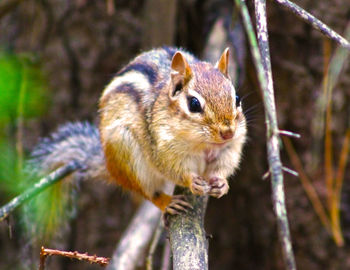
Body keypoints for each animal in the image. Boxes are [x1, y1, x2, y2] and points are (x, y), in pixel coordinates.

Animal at [29, 46, 246, 219]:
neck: (203, 144)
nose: (227, 133)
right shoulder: (162, 147)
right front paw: (192, 180)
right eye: (194, 104)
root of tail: (110, 166)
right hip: (127, 153)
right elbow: (172, 168)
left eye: (236, 98)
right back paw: (167, 201)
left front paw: (221, 183)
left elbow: (225, 164)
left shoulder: (231, 147)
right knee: (147, 192)